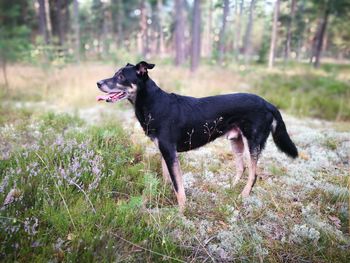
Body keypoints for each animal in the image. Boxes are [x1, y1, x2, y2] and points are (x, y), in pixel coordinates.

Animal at [96, 61, 298, 212]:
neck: (152, 103)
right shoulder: (165, 152)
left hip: (253, 142)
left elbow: (178, 185)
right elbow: (168, 179)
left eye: (121, 77)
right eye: (115, 74)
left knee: (253, 174)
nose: (98, 83)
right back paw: (231, 189)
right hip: (236, 141)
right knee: (241, 168)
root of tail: (268, 103)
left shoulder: (170, 152)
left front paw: (181, 211)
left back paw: (243, 195)